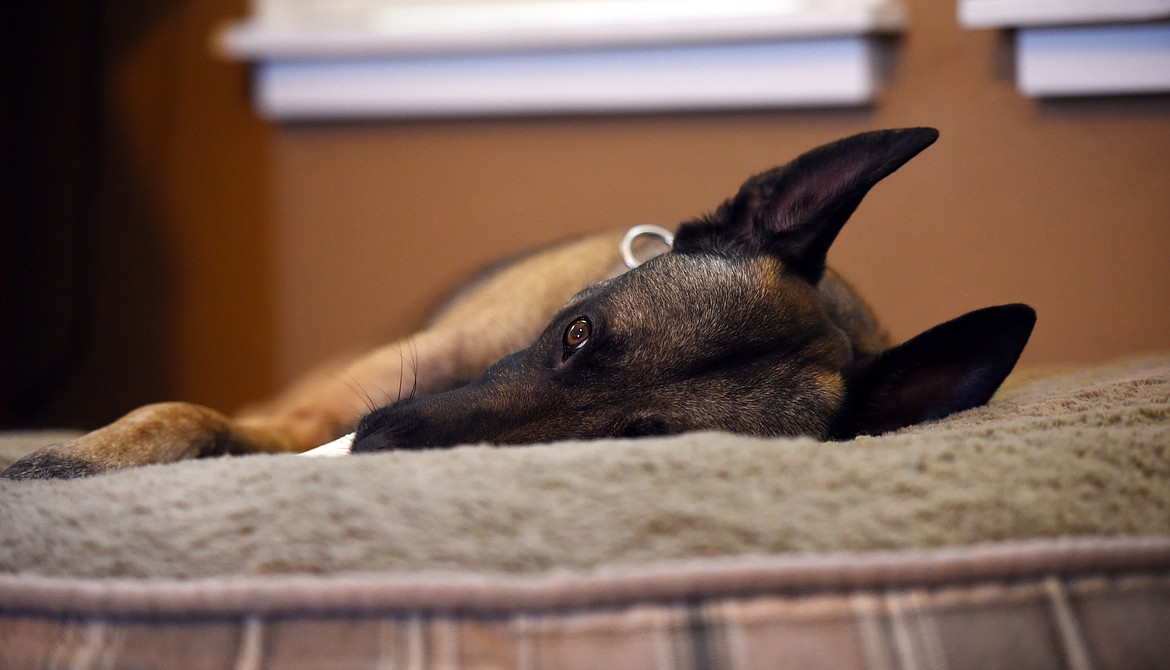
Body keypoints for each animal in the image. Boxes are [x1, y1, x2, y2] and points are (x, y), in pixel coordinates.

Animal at [4, 126, 1038, 481]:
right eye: (577, 334)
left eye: (634, 444)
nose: (379, 447)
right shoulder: (303, 413)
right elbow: (180, 413)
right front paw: (70, 459)